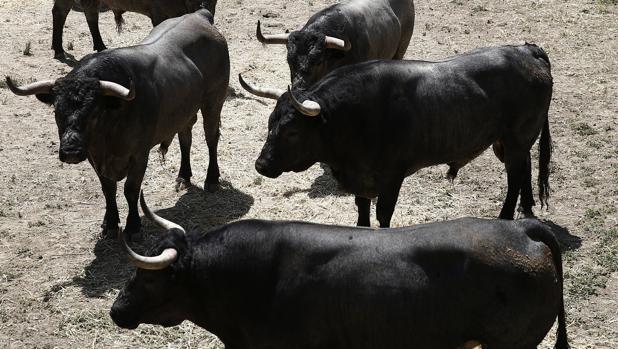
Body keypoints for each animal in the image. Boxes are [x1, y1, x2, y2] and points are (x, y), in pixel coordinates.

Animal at [6, 8, 229, 237]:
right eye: (57, 112)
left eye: (94, 112)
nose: (71, 152)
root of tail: (200, 15)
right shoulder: (94, 157)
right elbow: (108, 189)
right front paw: (110, 222)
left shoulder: (139, 155)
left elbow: (131, 190)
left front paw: (133, 226)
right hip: (185, 111)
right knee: (185, 137)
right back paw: (183, 176)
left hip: (214, 100)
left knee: (211, 137)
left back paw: (212, 179)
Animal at [51, 0, 218, 59]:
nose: (203, 5)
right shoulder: (158, 14)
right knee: (59, 12)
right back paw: (58, 49)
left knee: (91, 14)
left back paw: (100, 46)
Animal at [248, 43, 552, 227]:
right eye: (270, 124)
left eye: (292, 131)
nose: (261, 165)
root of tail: (528, 51)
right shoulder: (362, 180)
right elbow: (362, 210)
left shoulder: (392, 178)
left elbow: (383, 214)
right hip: (507, 142)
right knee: (525, 167)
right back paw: (526, 207)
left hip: (516, 139)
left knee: (515, 177)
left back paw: (505, 217)